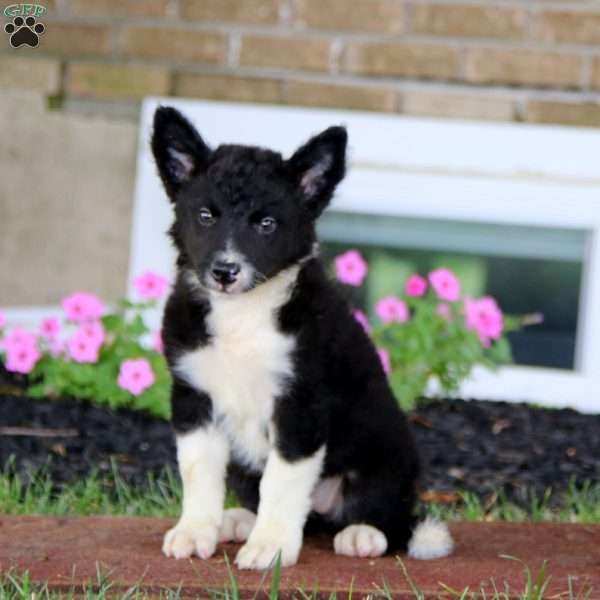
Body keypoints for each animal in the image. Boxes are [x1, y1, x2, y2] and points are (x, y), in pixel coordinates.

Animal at [151, 108, 454, 572]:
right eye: (205, 216)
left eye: (266, 224)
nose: (225, 271)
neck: (244, 314)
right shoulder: (193, 395)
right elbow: (198, 471)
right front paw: (194, 531)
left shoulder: (301, 404)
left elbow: (282, 481)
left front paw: (271, 547)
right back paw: (238, 520)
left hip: (386, 449)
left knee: (391, 516)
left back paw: (364, 533)